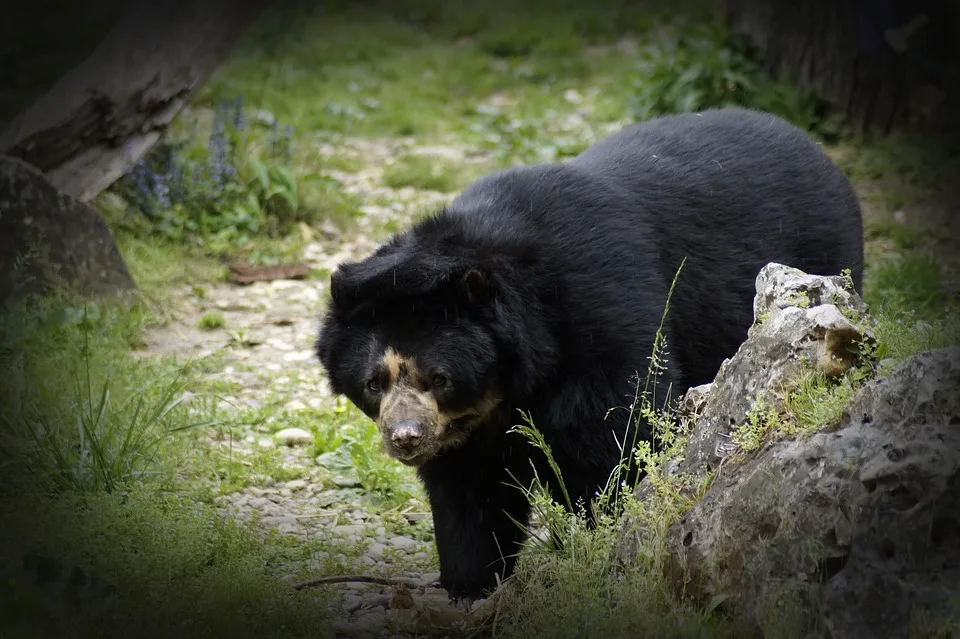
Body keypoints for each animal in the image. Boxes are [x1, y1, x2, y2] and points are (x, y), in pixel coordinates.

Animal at [316, 107, 864, 608]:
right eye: (373, 382)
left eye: (439, 378)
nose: (405, 437)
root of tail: (814, 148)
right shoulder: (462, 430)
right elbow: (466, 489)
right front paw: (470, 586)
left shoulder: (602, 316)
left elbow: (618, 434)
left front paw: (605, 540)